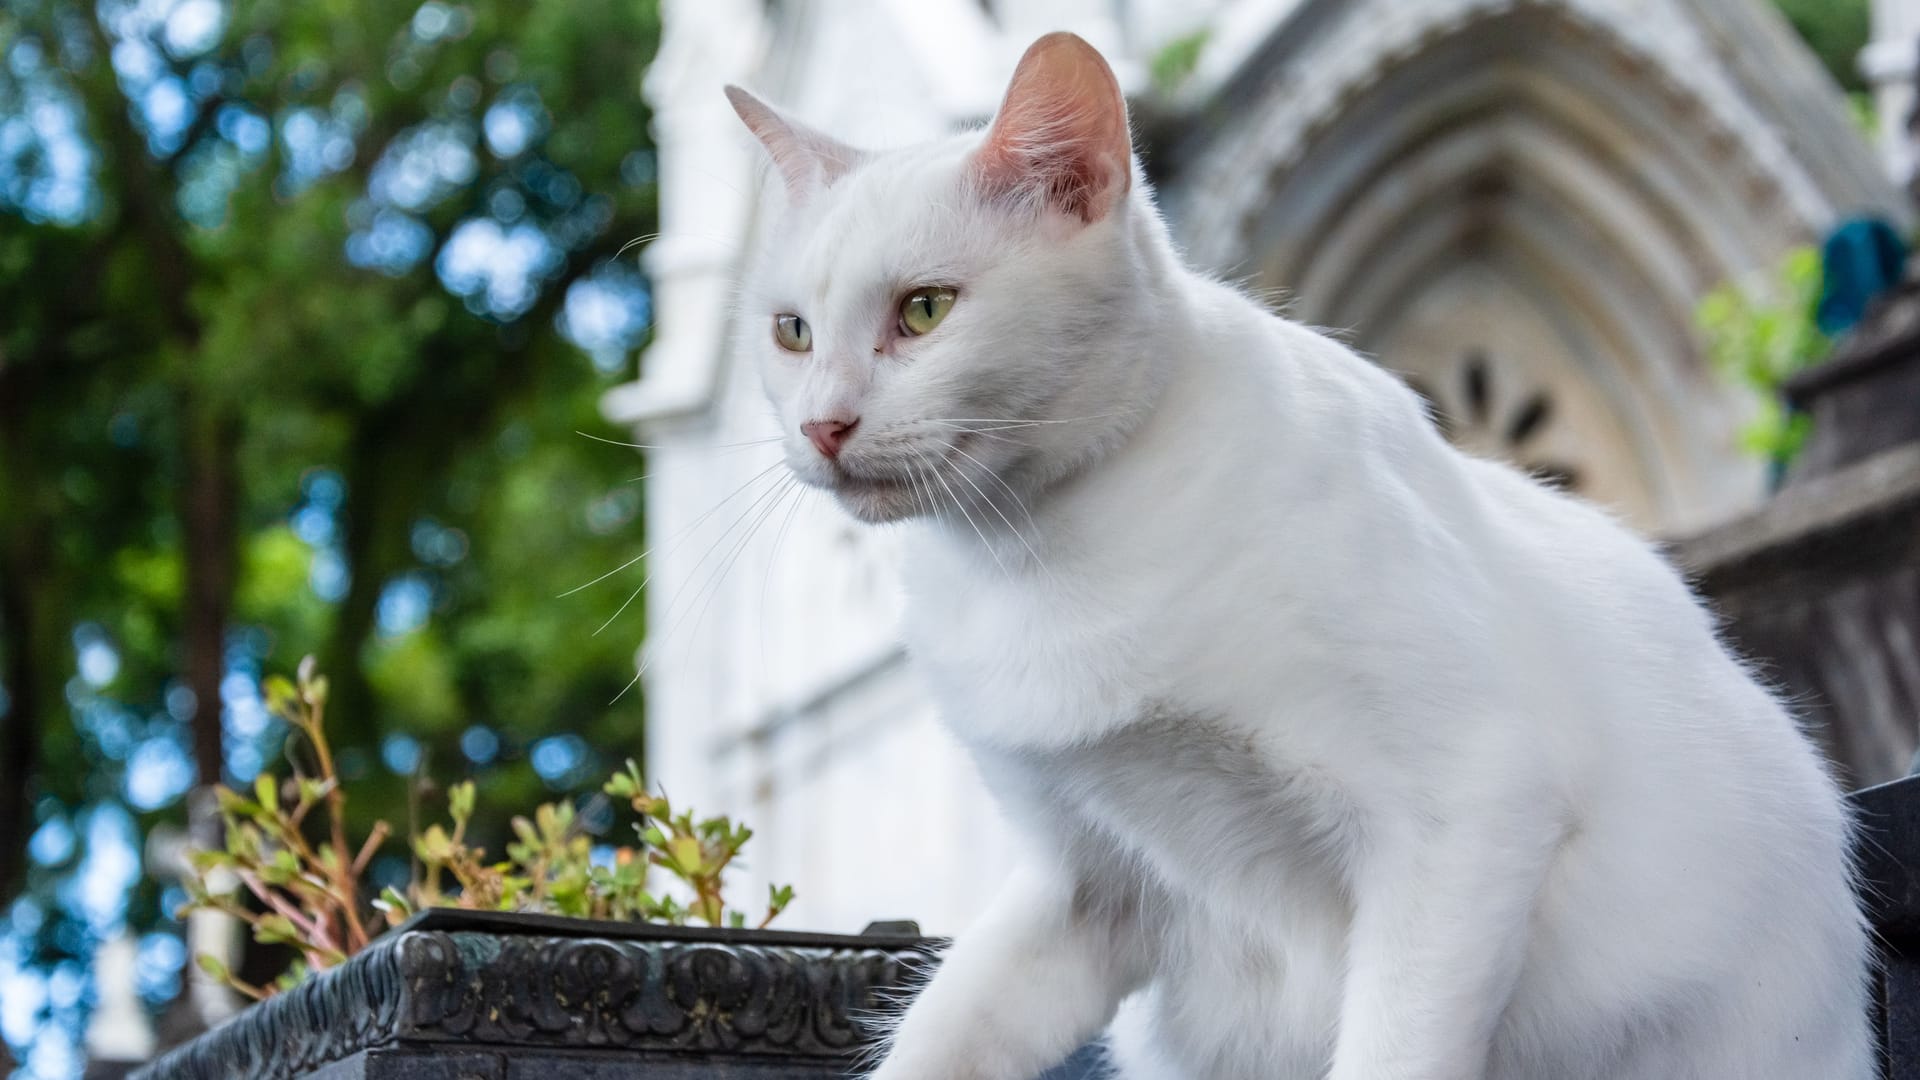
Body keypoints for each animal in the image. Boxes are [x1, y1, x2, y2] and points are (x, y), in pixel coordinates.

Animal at [721, 31, 1873, 1076]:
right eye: (791, 332)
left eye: (925, 310)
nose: (822, 425)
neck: (1032, 556)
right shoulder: (1081, 885)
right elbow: (944, 1033)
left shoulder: (1465, 813)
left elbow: (1395, 1050)